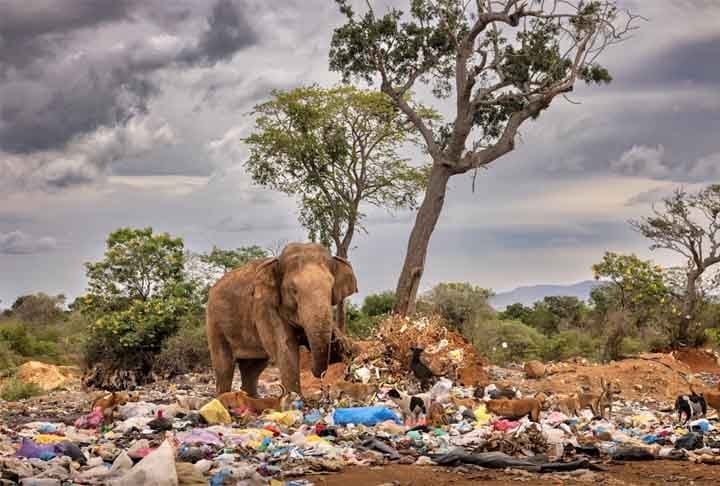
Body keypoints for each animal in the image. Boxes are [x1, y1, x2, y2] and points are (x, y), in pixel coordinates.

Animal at [205, 241, 358, 396]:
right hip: (214, 322)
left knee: (253, 367)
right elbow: (287, 349)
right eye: (294, 290)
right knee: (224, 365)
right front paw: (295, 398)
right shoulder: (264, 307)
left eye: (331, 288)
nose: (318, 375)